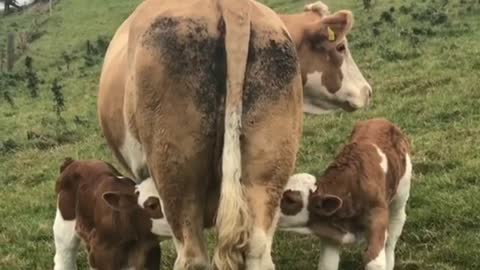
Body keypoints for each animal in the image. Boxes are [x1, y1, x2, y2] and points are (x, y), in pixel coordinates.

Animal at [280, 119, 410, 270]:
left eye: (290, 200)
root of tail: (380, 120)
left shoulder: (378, 215)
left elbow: (375, 262)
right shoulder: (331, 234)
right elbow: (327, 264)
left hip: (401, 192)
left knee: (395, 228)